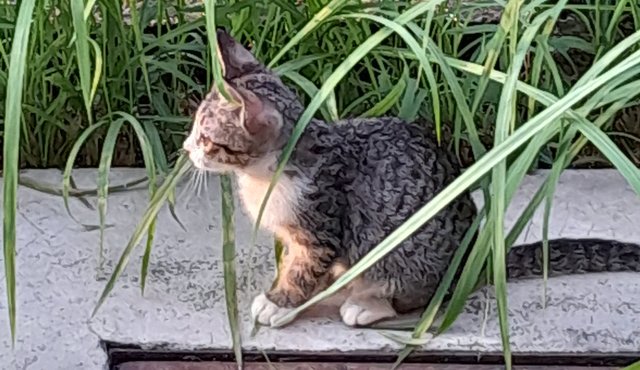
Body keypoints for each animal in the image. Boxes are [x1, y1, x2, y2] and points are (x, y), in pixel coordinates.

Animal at [182, 30, 640, 328]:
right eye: (195, 131)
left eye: (206, 138)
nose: (186, 149)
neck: (266, 176)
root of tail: (473, 256)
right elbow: (294, 264)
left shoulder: (320, 228)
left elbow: (302, 270)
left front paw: (279, 302)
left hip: (400, 252)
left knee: (420, 296)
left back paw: (366, 304)